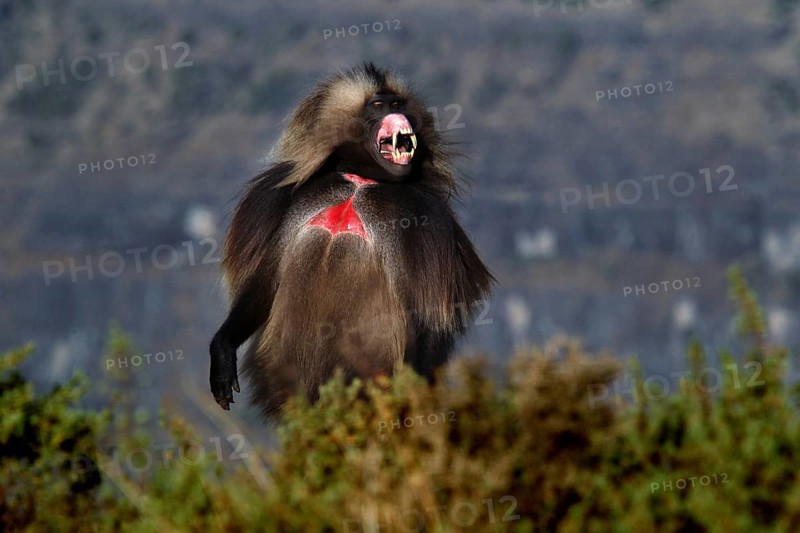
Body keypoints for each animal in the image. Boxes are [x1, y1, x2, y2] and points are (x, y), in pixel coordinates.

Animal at [209, 63, 493, 419]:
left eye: (398, 104)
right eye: (378, 106)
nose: (399, 113)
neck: (362, 180)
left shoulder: (428, 218)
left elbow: (427, 319)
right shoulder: (283, 199)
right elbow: (264, 283)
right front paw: (222, 352)